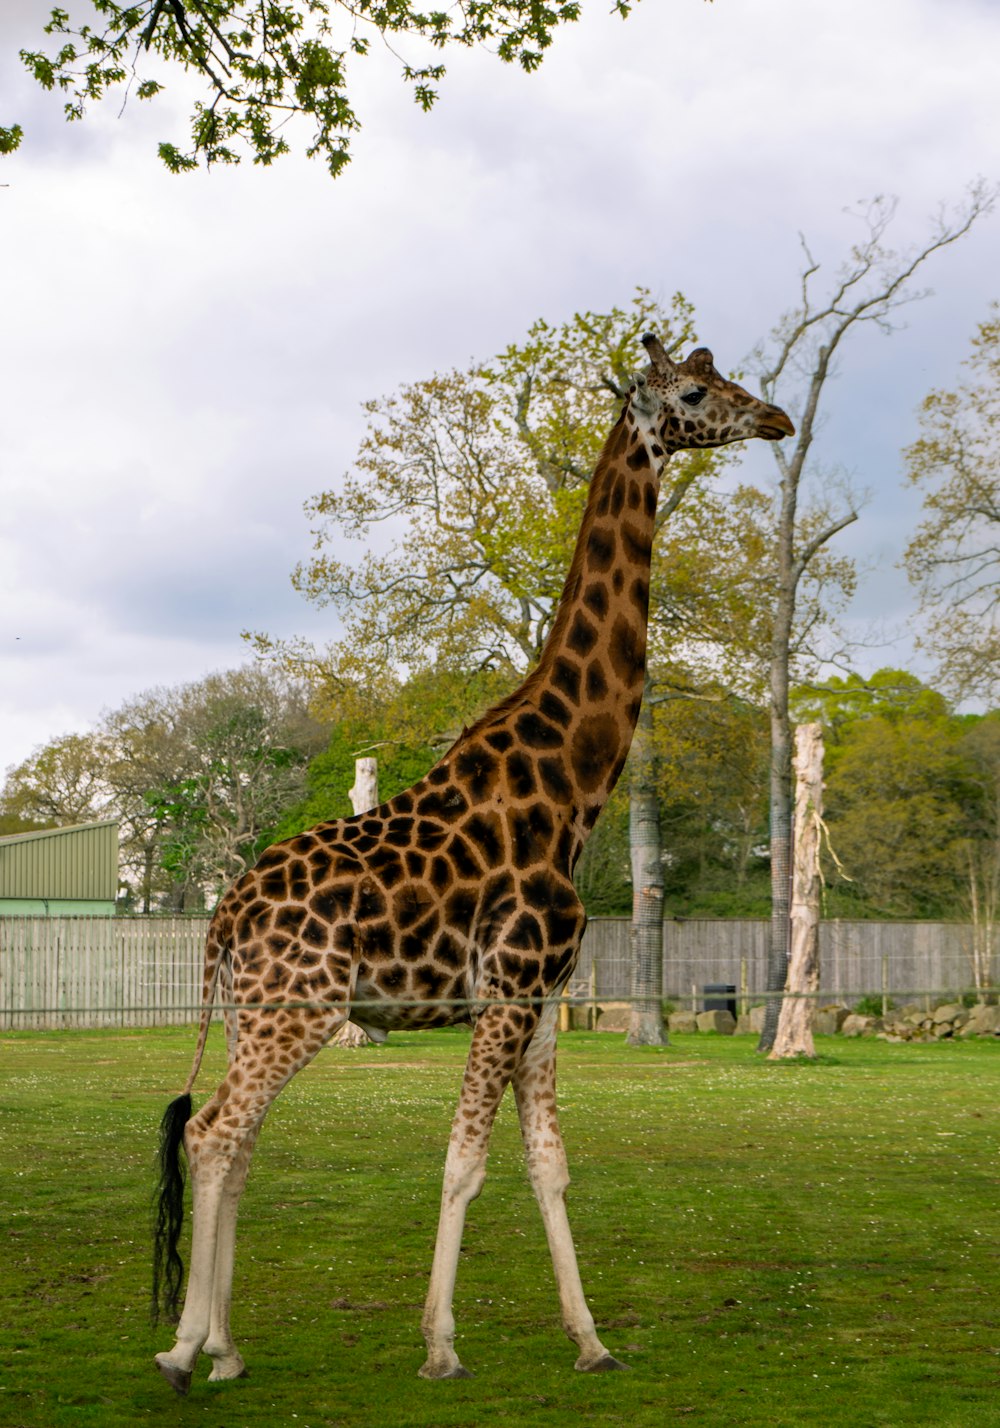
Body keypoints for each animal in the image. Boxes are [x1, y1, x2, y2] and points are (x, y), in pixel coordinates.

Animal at [152, 328, 794, 1388]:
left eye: (728, 374)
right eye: (699, 391)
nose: (776, 419)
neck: (574, 781)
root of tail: (224, 916)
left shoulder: (539, 1002)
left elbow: (548, 1164)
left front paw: (591, 1340)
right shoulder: (509, 986)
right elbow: (463, 1163)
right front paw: (441, 1346)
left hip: (261, 1015)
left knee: (237, 1145)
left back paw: (228, 1350)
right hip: (298, 1013)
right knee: (213, 1134)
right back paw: (183, 1347)